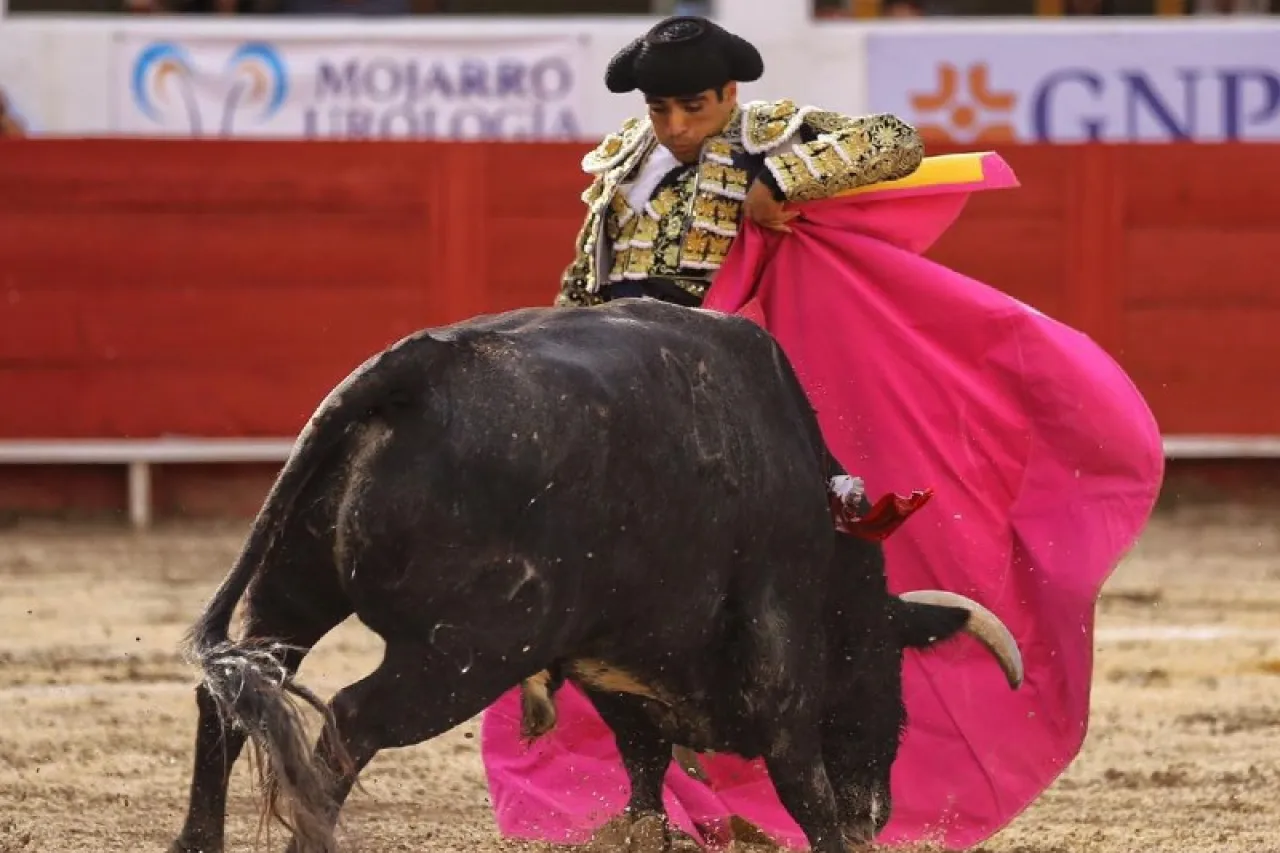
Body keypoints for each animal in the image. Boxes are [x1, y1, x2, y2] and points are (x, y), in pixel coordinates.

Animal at [165, 298, 1018, 850]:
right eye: (887, 680)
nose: (877, 813)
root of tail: (416, 366)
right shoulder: (779, 652)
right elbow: (801, 783)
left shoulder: (618, 657)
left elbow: (642, 763)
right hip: (468, 650)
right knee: (348, 719)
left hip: (292, 588)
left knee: (230, 695)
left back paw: (196, 842)